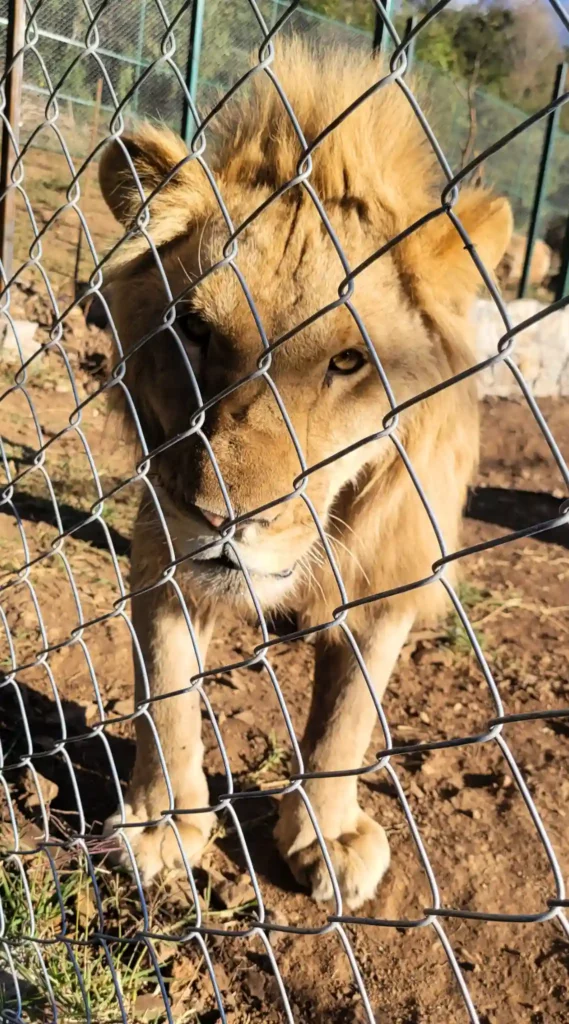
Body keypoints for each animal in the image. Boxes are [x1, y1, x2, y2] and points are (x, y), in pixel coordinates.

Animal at [98, 41, 512, 910]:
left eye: (348, 362)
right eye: (193, 329)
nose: (218, 520)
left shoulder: (390, 574)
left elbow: (346, 718)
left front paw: (326, 832)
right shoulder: (161, 548)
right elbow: (168, 696)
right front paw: (159, 825)